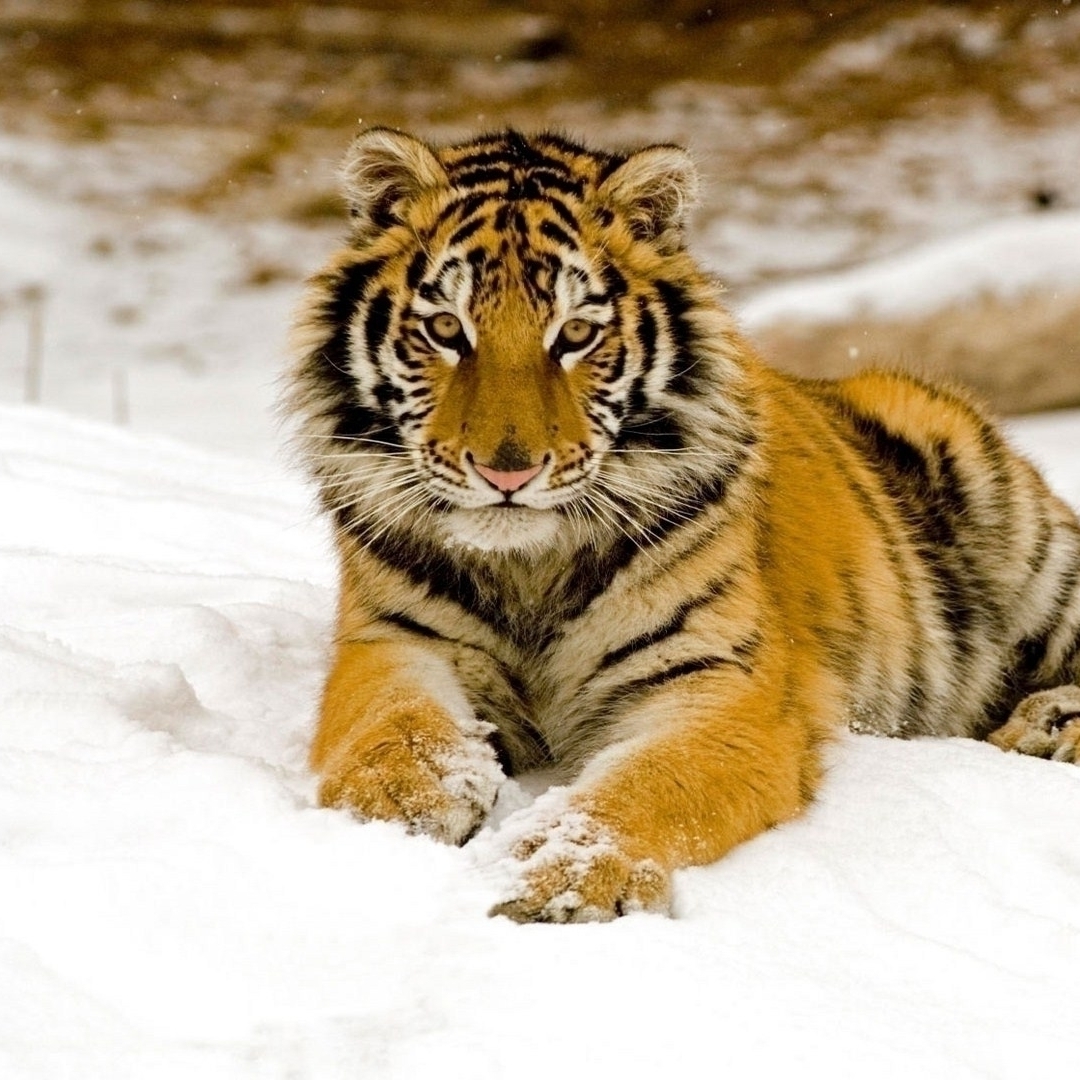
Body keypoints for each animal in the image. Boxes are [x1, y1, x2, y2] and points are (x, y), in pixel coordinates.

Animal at [282, 124, 1080, 920]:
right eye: (447, 328)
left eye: (576, 334)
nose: (508, 472)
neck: (529, 566)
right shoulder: (395, 640)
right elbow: (394, 725)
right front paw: (398, 810)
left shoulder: (719, 681)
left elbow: (646, 787)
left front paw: (561, 882)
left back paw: (1048, 727)